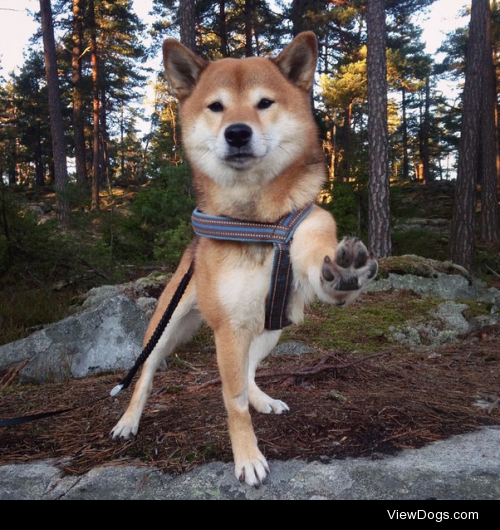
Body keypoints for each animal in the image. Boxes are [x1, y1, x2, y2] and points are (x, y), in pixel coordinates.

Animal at [113, 33, 376, 484]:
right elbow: (232, 402)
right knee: (144, 375)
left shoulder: (307, 242)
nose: (237, 133)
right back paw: (129, 420)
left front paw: (344, 273)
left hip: (272, 327)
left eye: (264, 103)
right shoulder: (229, 330)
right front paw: (248, 457)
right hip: (165, 328)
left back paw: (263, 398)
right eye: (216, 106)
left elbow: (321, 265)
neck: (257, 222)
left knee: (251, 369)